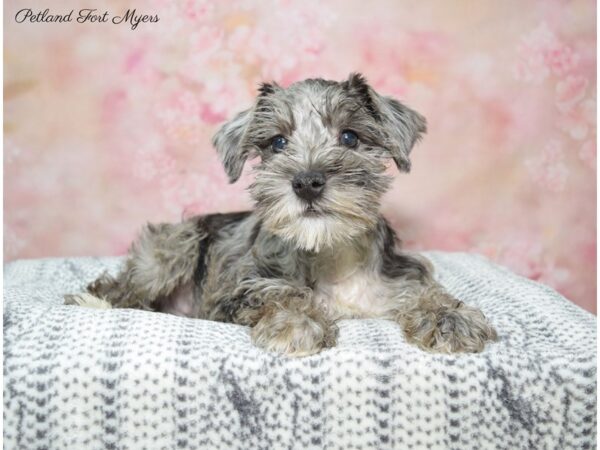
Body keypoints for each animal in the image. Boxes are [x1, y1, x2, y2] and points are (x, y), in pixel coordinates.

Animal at [65, 73, 496, 356]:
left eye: (350, 137)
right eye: (277, 142)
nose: (307, 182)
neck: (330, 253)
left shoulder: (400, 278)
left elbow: (426, 291)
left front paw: (449, 318)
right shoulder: (237, 290)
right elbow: (279, 292)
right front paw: (296, 322)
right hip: (174, 246)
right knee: (121, 289)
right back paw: (93, 303)